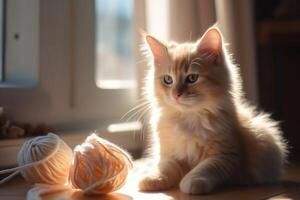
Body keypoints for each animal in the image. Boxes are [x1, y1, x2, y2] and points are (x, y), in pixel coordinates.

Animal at [138, 27, 288, 195]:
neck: (189, 118)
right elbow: (165, 168)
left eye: (192, 78)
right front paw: (152, 178)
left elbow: (204, 168)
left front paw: (191, 182)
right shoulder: (169, 154)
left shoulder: (225, 155)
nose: (176, 94)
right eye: (168, 80)